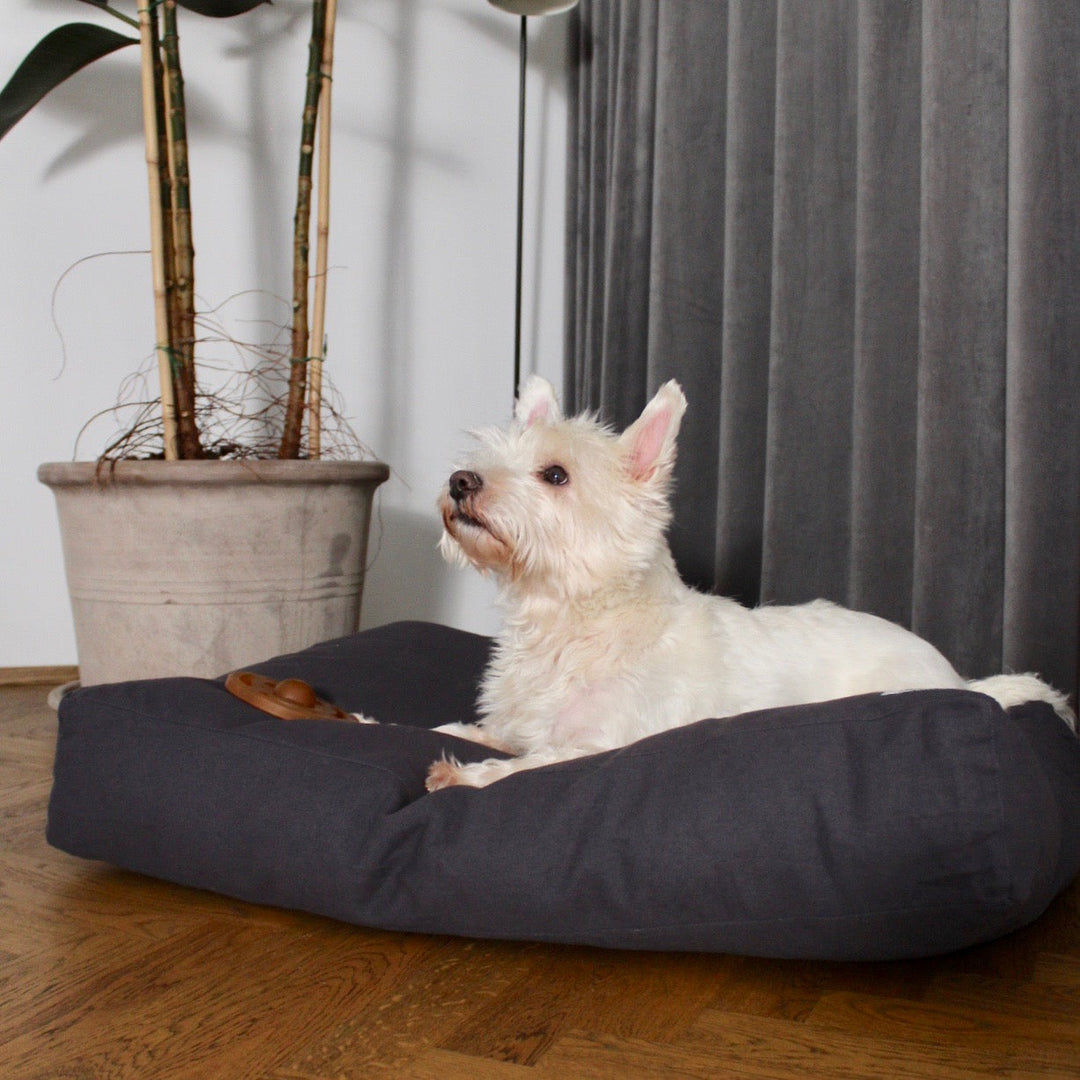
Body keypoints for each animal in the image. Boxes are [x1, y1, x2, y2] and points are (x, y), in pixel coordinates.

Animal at [425, 375, 1075, 790]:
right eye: (490, 457)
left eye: (555, 475)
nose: (460, 481)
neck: (570, 617)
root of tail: (964, 683)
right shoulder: (527, 726)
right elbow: (488, 733)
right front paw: (436, 730)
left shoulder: (600, 744)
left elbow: (528, 766)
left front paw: (460, 774)